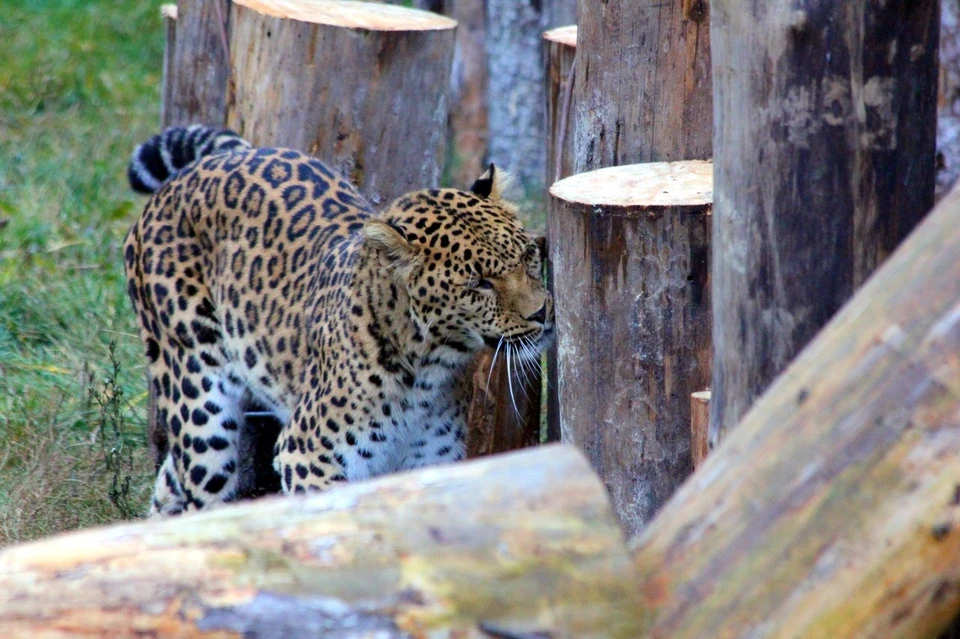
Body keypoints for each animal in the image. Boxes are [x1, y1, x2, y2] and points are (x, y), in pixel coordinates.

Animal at [125, 124, 556, 516]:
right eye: (479, 283)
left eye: (528, 255)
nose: (541, 312)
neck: (428, 370)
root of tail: (209, 164)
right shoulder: (308, 458)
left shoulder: (430, 462)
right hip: (198, 403)